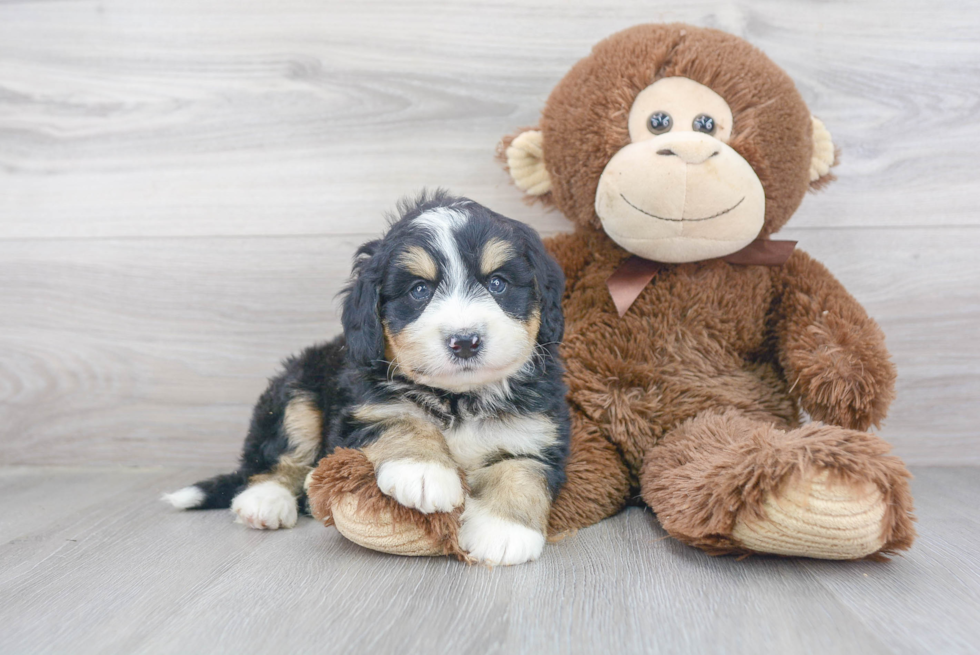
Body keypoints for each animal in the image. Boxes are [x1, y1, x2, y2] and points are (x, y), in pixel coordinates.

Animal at [165, 192, 572, 568]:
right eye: (419, 290)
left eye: (498, 283)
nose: (465, 340)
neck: (457, 399)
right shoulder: (362, 409)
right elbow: (401, 420)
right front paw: (423, 471)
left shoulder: (539, 428)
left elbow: (523, 470)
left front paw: (503, 531)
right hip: (296, 391)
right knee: (276, 455)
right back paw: (265, 500)